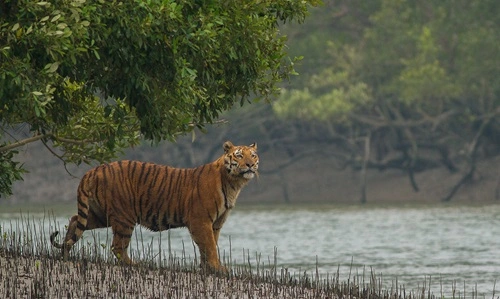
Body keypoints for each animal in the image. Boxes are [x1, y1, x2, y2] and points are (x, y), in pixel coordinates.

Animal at [50, 142, 260, 274]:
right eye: (239, 155)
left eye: (253, 155)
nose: (250, 165)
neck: (234, 183)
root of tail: (93, 170)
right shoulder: (201, 221)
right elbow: (209, 246)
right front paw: (218, 268)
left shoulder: (215, 224)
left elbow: (209, 247)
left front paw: (208, 269)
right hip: (124, 216)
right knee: (117, 246)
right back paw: (135, 264)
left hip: (99, 215)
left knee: (74, 221)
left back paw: (65, 253)